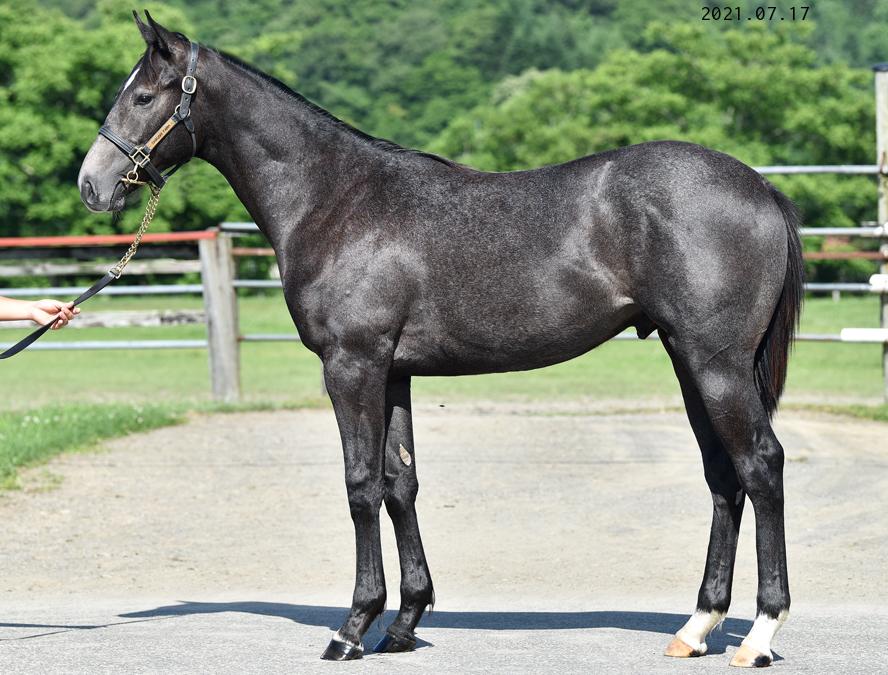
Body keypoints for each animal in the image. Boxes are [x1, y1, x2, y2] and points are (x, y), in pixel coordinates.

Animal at [77, 13, 802, 668]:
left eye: (144, 96)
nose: (92, 184)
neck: (334, 197)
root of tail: (760, 186)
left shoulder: (352, 365)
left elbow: (361, 485)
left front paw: (352, 627)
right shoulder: (393, 372)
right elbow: (402, 483)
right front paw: (404, 623)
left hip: (716, 364)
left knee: (761, 465)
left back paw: (760, 634)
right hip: (688, 359)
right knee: (723, 476)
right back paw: (697, 627)